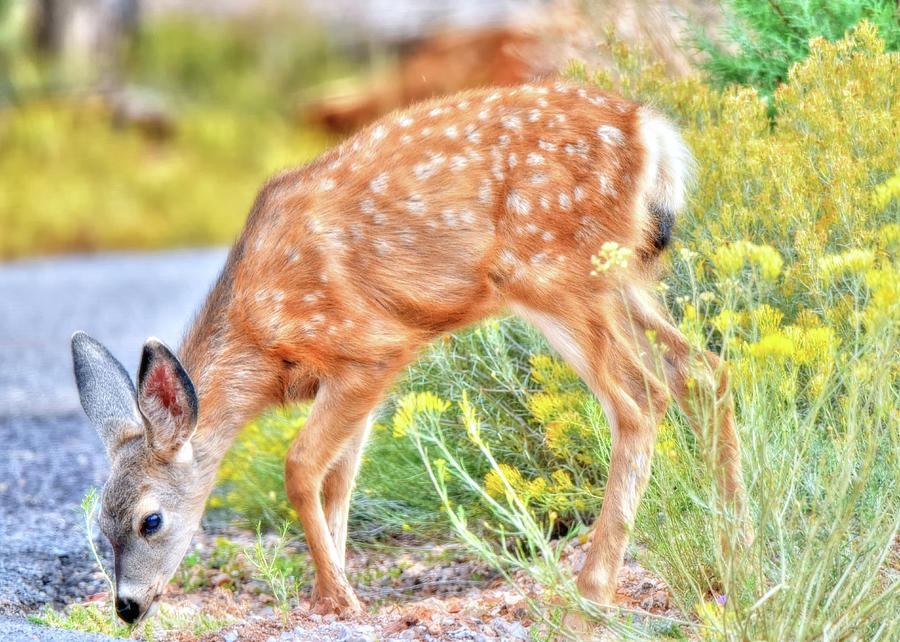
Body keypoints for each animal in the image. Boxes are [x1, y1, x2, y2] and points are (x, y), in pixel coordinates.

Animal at [70, 80, 748, 620]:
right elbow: (340, 478)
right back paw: (735, 559)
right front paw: (334, 586)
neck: (260, 336)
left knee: (640, 398)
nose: (127, 607)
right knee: (703, 371)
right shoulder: (354, 379)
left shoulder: (369, 346)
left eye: (150, 520)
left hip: (554, 271)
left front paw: (336, 598)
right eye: (101, 522)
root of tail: (650, 129)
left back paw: (592, 593)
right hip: (618, 274)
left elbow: (301, 467)